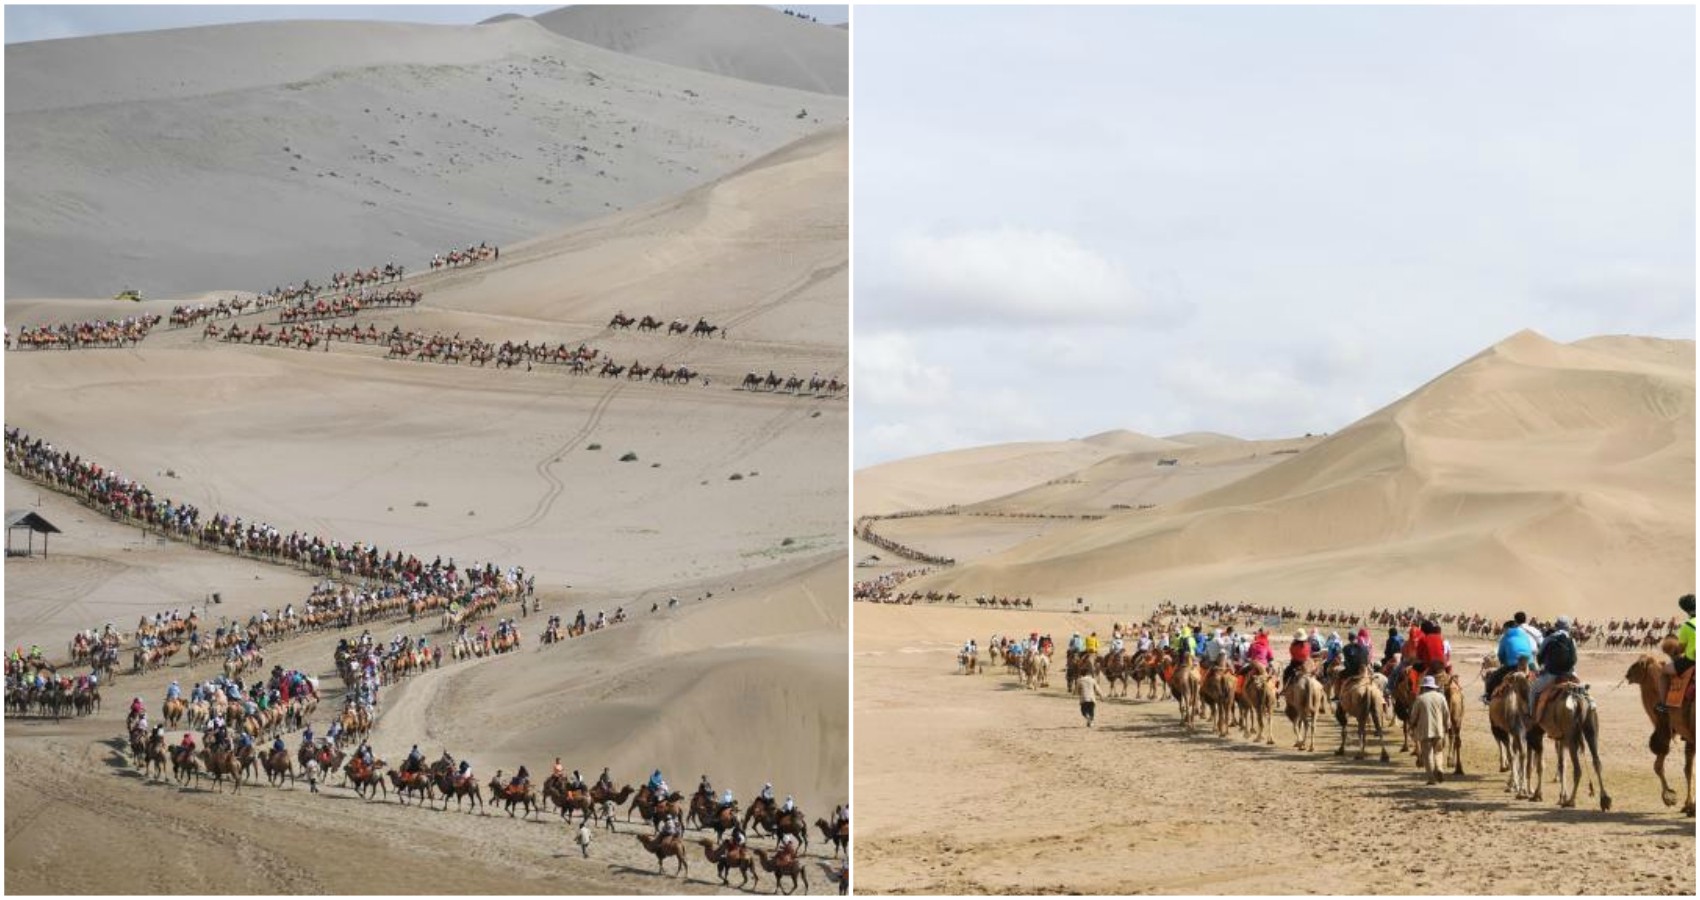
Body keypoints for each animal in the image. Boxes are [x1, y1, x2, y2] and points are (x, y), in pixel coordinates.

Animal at [1625, 653, 1693, 813]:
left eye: (1637, 664)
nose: (1627, 673)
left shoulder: (1665, 729)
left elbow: (1658, 766)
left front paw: (1670, 798)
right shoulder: (1687, 736)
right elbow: (1689, 769)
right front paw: (1688, 805)